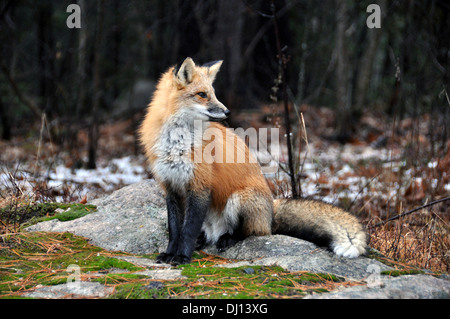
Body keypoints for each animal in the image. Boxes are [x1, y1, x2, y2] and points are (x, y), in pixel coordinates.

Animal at [139, 58, 368, 268]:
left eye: (213, 93)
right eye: (202, 94)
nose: (228, 112)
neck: (176, 144)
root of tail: (270, 212)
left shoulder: (199, 187)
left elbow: (188, 230)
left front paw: (182, 257)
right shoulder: (171, 187)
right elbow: (174, 230)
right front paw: (170, 254)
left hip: (240, 198)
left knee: (252, 232)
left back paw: (227, 238)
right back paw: (204, 240)